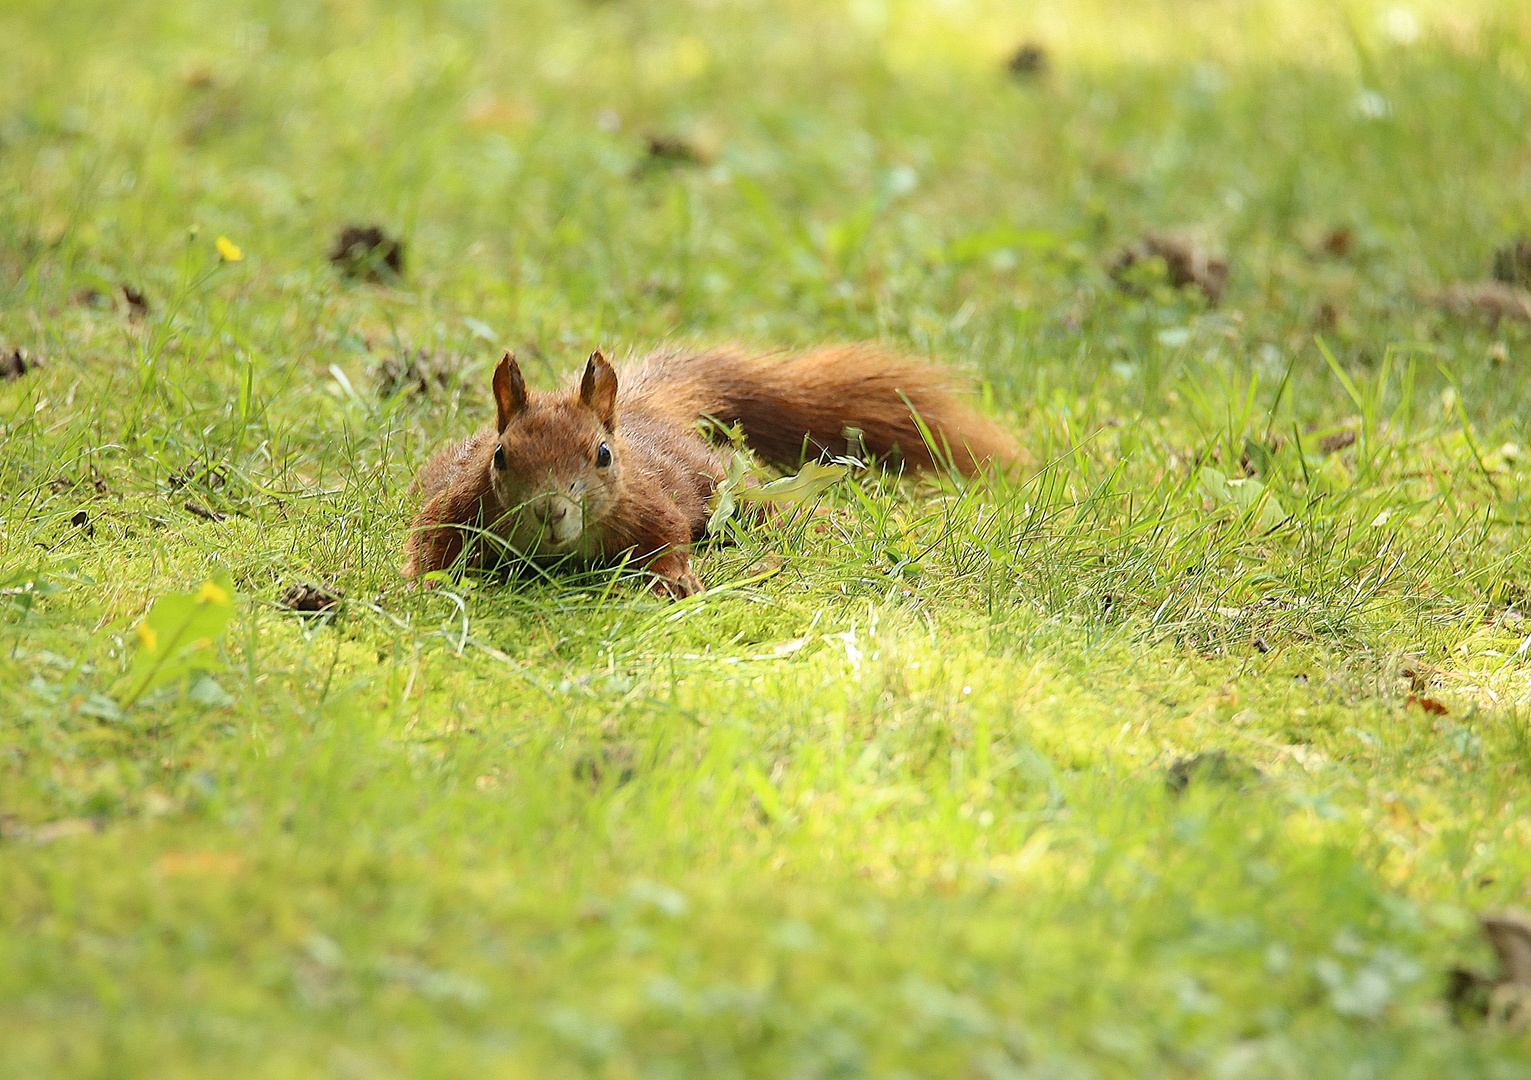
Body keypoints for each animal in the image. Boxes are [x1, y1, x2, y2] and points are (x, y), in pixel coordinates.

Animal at [401, 343, 1022, 597]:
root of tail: (645, 414)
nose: (552, 511)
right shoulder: (462, 504)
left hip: (719, 481)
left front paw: (673, 579)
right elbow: (430, 538)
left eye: (602, 454)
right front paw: (422, 586)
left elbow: (669, 534)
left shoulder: (646, 502)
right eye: (501, 456)